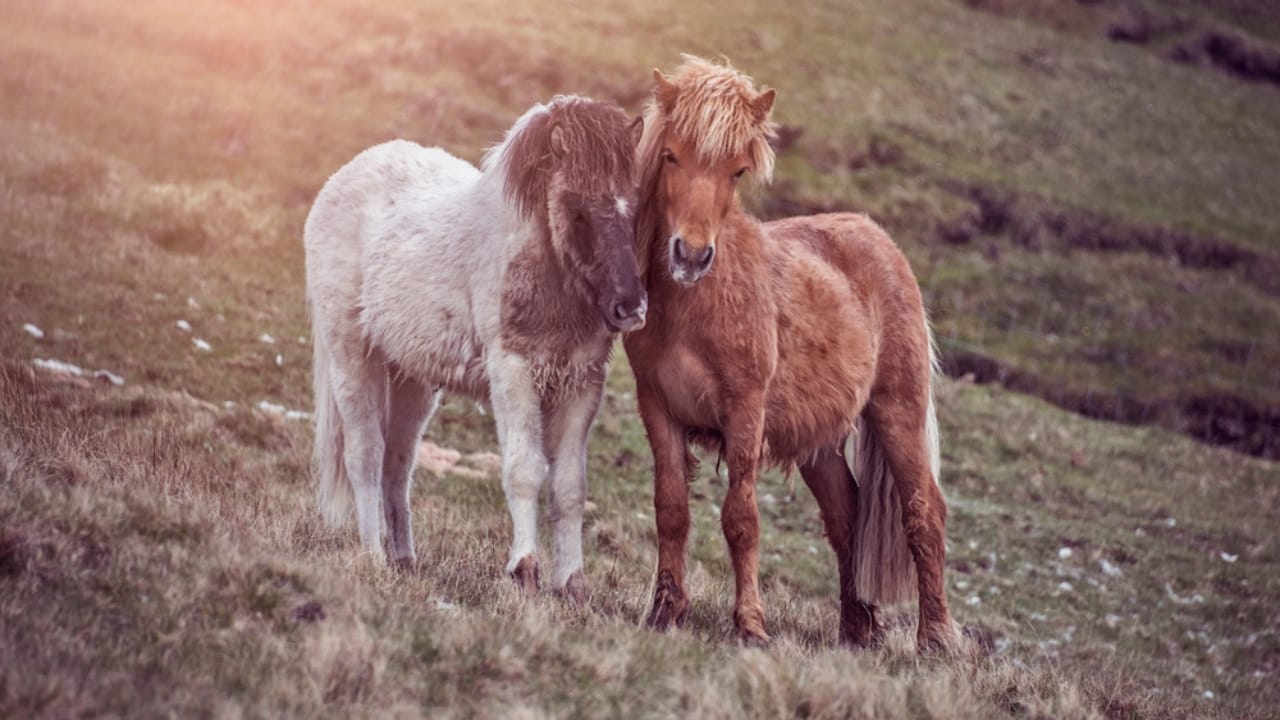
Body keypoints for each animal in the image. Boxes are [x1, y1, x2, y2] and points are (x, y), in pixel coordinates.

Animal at [304, 95, 646, 602]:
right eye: (578, 209)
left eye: (635, 206)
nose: (630, 306)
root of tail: (340, 179)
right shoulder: (514, 374)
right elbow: (524, 471)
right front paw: (524, 570)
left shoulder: (581, 385)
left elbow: (569, 488)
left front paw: (571, 584)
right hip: (351, 355)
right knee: (364, 455)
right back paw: (374, 558)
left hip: (411, 379)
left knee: (397, 465)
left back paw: (405, 559)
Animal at [623, 56, 957, 651]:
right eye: (670, 155)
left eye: (737, 170)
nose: (691, 255)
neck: (694, 306)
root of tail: (879, 240)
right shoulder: (657, 408)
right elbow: (671, 510)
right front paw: (664, 612)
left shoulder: (745, 412)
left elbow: (741, 519)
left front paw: (750, 625)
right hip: (819, 444)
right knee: (848, 516)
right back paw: (857, 630)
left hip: (898, 412)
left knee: (924, 513)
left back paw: (936, 640)